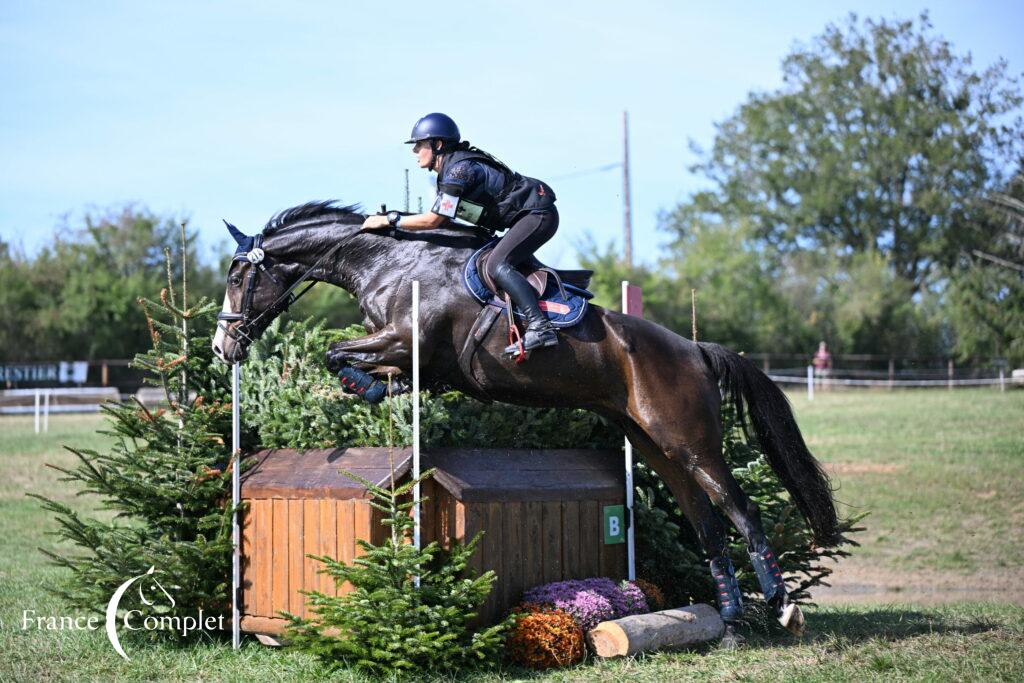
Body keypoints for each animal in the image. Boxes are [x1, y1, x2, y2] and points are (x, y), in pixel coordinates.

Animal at [209, 198, 839, 634]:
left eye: (239, 277)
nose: (222, 347)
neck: (389, 262)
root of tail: (696, 351)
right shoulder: (401, 350)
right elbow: (347, 357)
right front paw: (369, 388)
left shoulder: (406, 340)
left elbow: (338, 352)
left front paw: (360, 385)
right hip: (653, 445)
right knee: (706, 521)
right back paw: (730, 623)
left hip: (689, 439)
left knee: (742, 509)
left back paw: (784, 609)